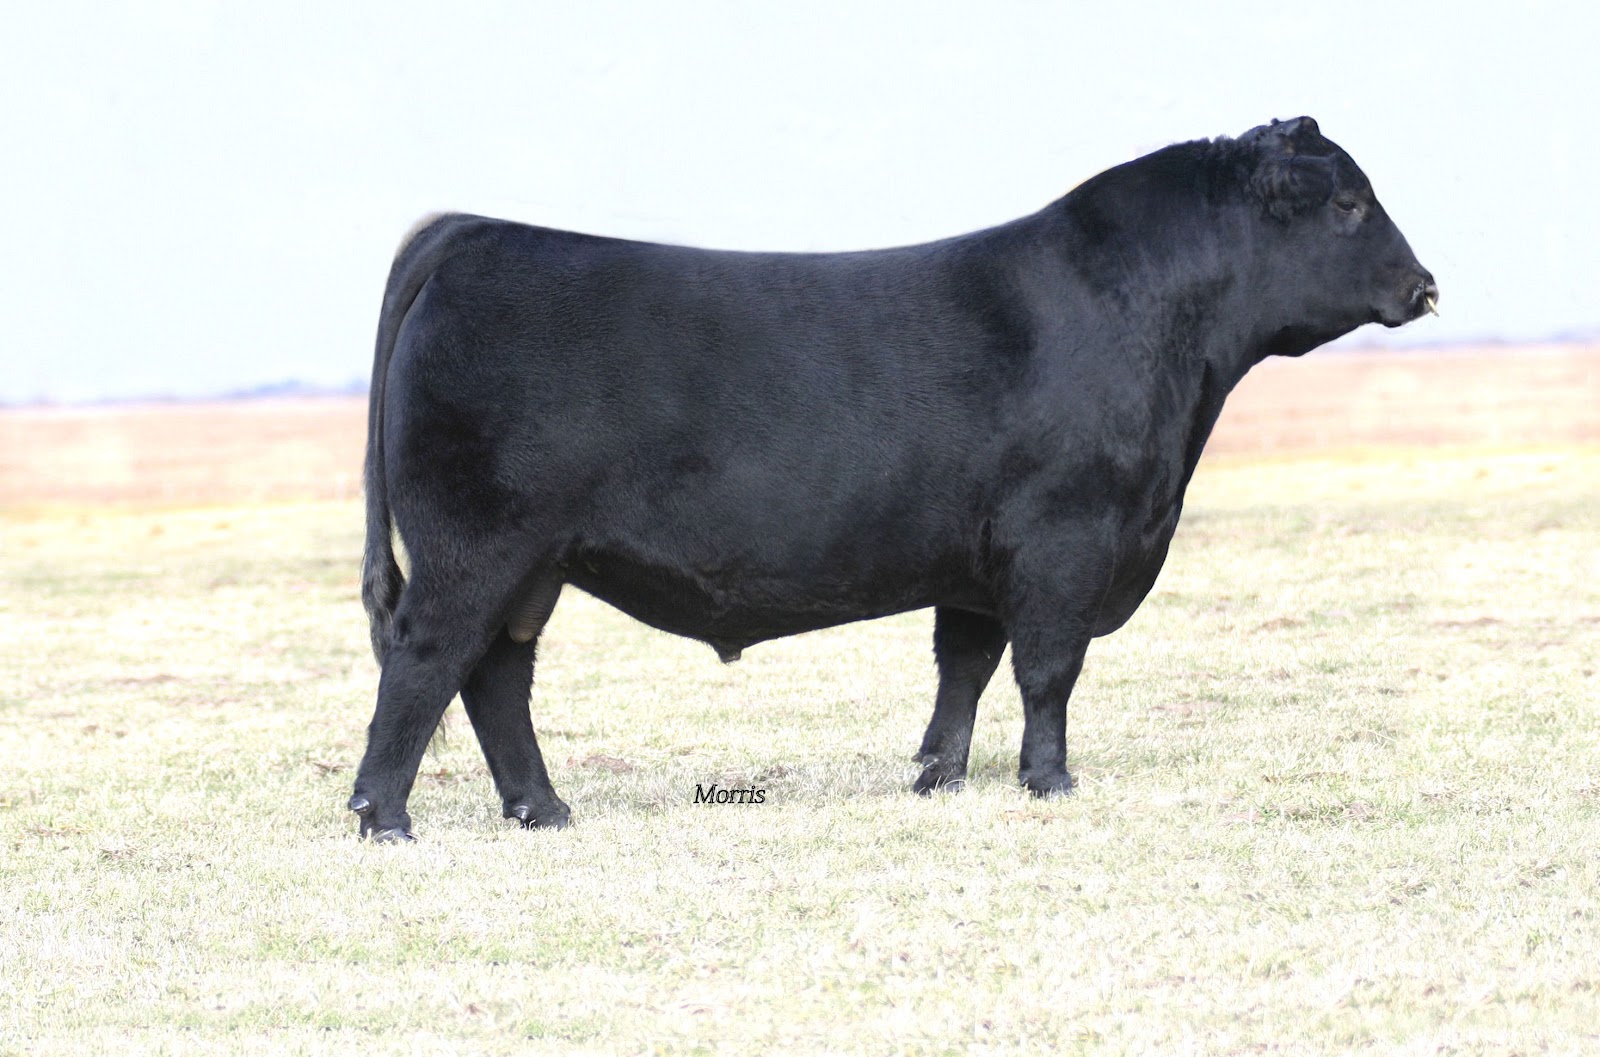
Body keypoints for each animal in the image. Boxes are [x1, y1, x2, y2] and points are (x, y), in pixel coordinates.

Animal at [348, 116, 1436, 840]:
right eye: (1348, 202)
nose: (1425, 286)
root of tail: (476, 232)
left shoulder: (980, 560)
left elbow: (965, 666)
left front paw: (939, 776)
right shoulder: (1066, 537)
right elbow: (1048, 669)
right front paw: (1049, 781)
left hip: (531, 561)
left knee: (494, 674)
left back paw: (543, 808)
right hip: (476, 546)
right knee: (427, 660)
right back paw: (385, 814)